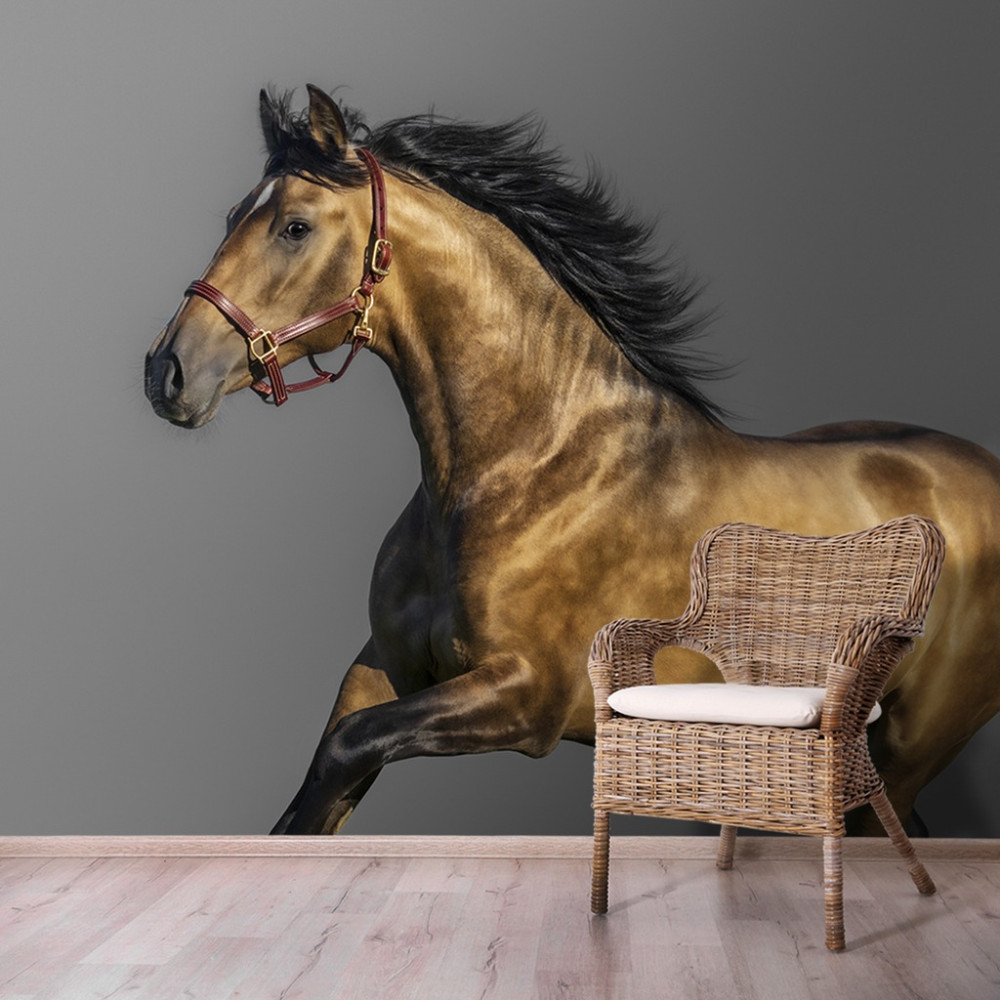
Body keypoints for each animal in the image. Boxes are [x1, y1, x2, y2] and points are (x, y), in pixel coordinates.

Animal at [145, 85, 1000, 836]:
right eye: (234, 216)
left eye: (293, 227)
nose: (168, 372)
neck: (525, 467)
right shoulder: (383, 668)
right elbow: (320, 783)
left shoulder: (526, 698)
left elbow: (343, 753)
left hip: (905, 749)